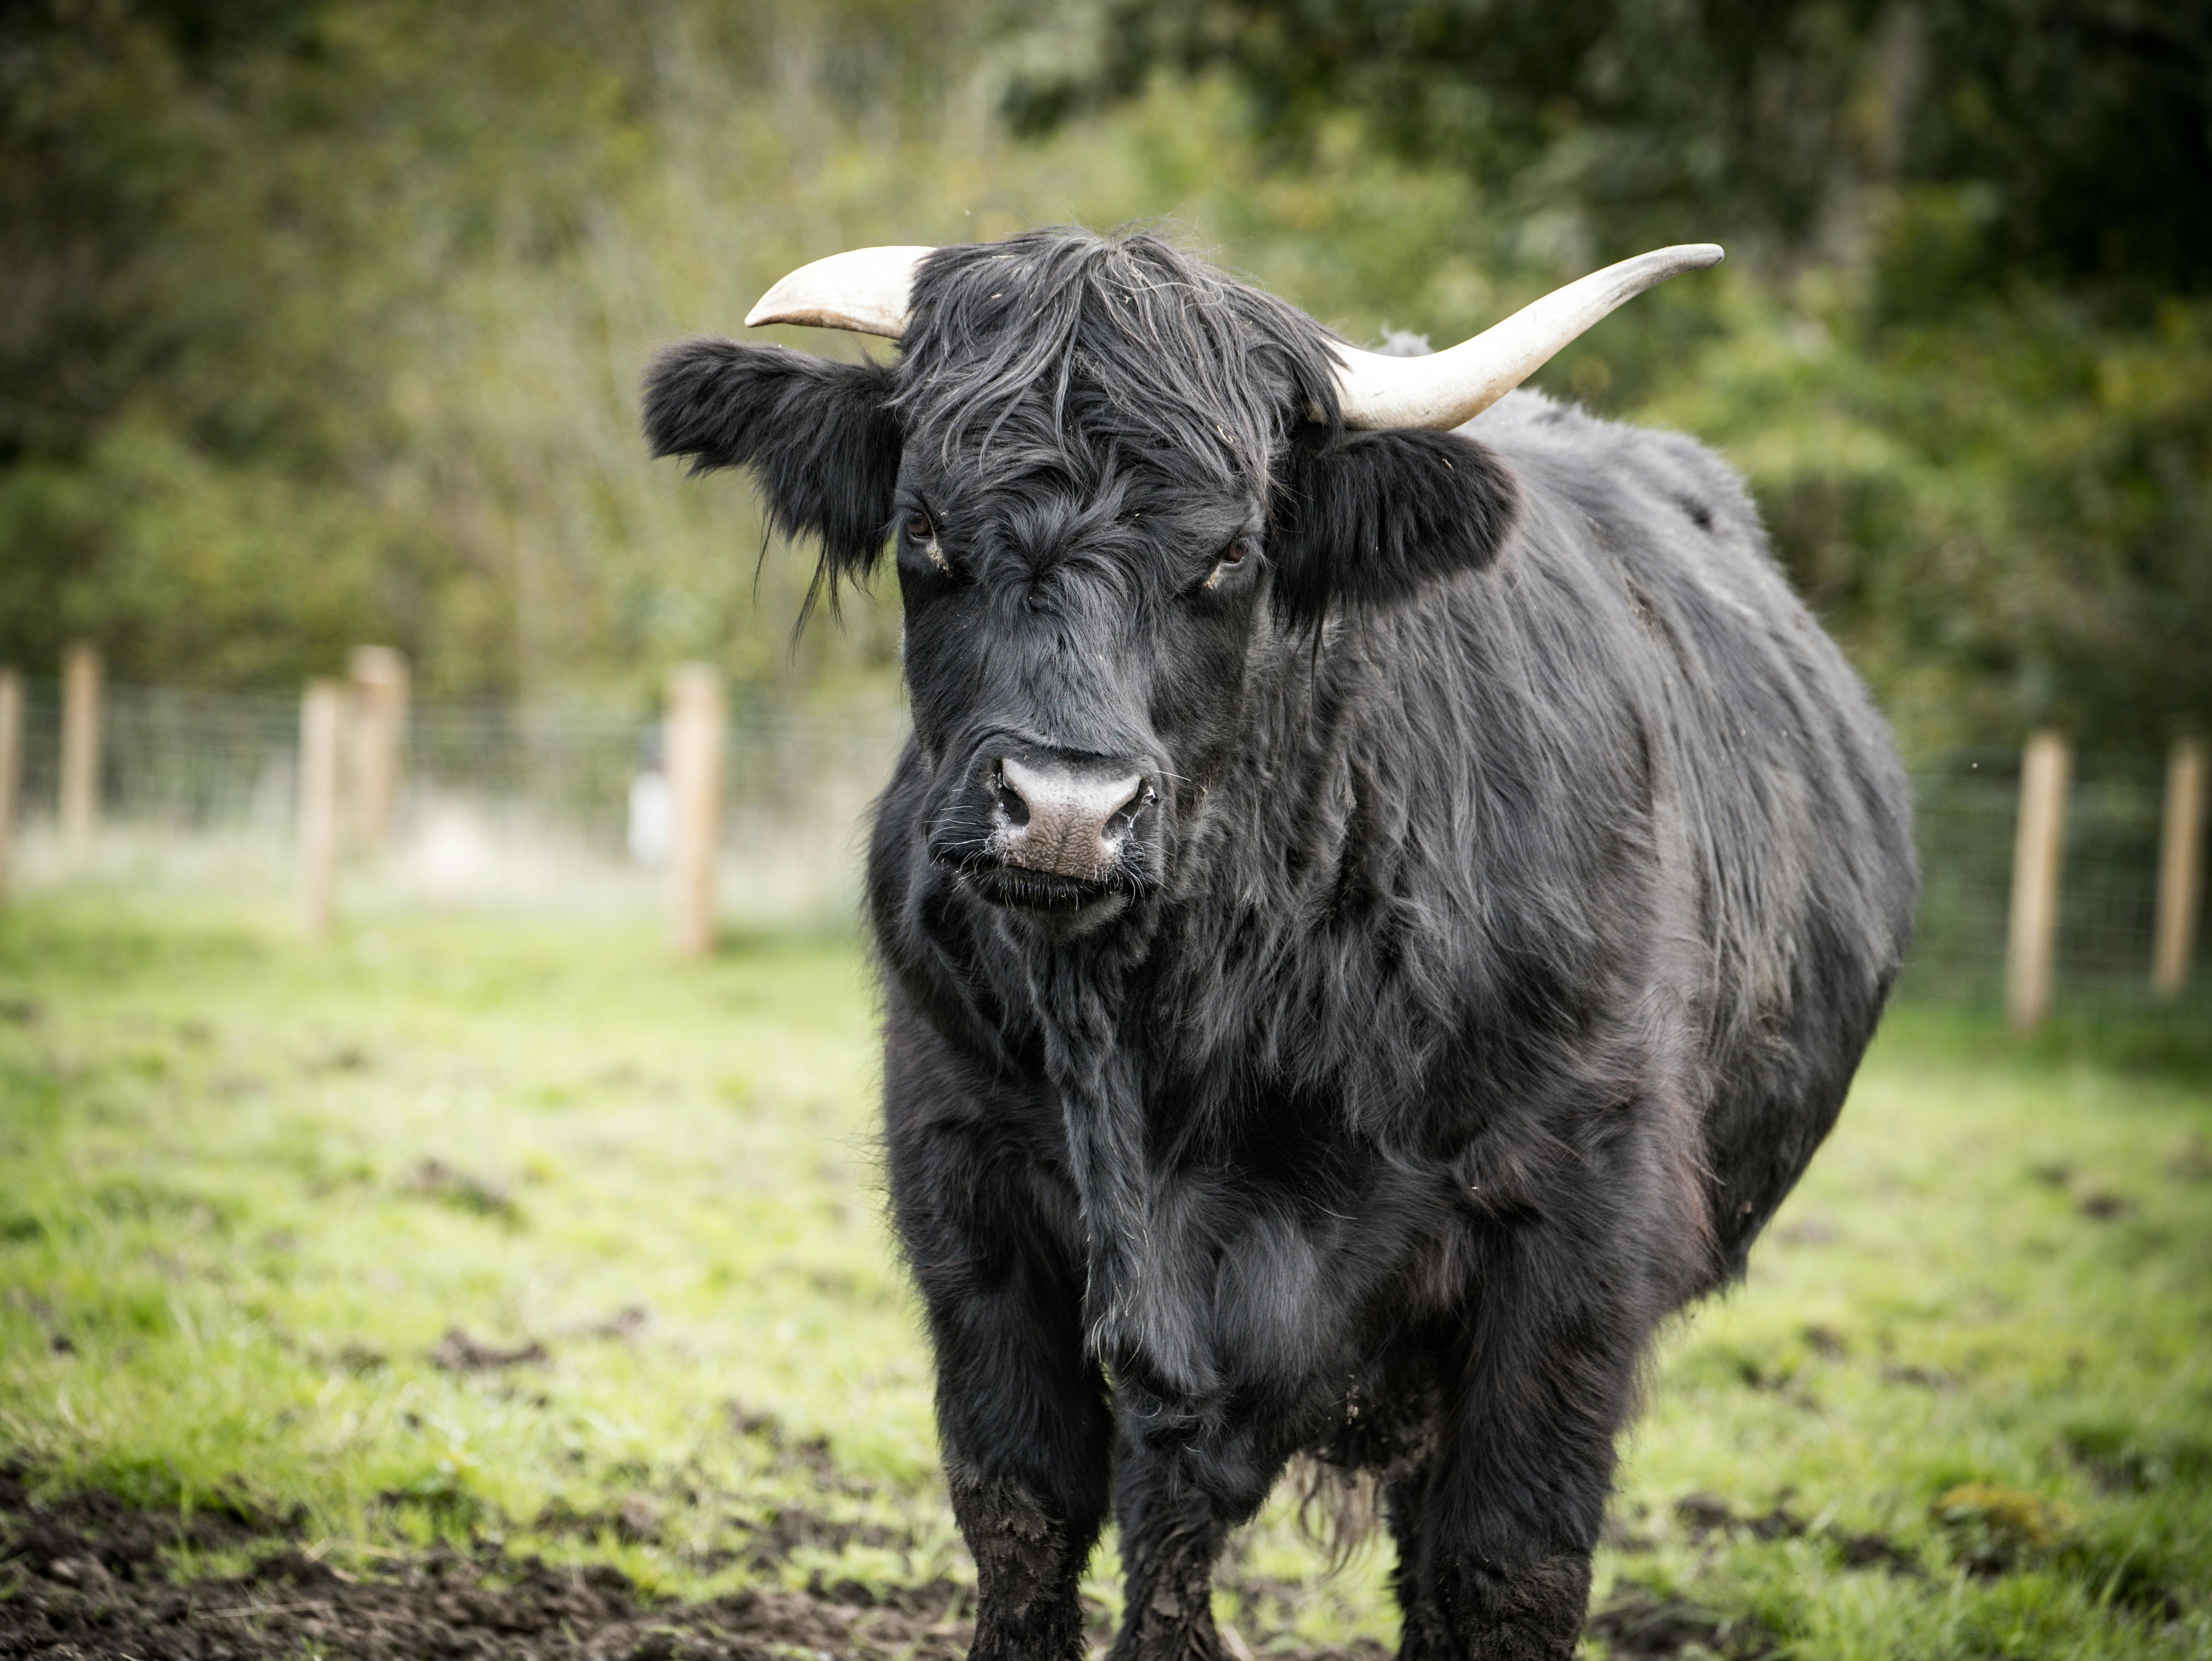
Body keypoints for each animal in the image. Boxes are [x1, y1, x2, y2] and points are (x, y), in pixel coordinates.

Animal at [642, 228, 1916, 1661]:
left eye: (1232, 554)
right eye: (923, 528)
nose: (1065, 809)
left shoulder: (1579, 1230)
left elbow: (1509, 1563)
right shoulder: (965, 1185)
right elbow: (1033, 1510)